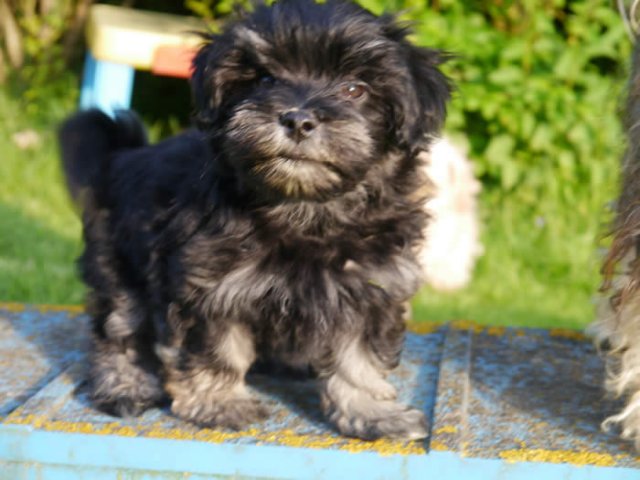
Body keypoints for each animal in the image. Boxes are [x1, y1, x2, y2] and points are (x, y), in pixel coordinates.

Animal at [59, 0, 451, 441]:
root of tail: (121, 157)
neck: (304, 208)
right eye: (264, 79)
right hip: (119, 263)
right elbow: (215, 349)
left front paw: (372, 412)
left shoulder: (373, 287)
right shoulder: (209, 285)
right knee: (118, 328)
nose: (298, 120)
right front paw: (218, 402)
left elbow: (360, 359)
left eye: (355, 89)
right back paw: (125, 385)